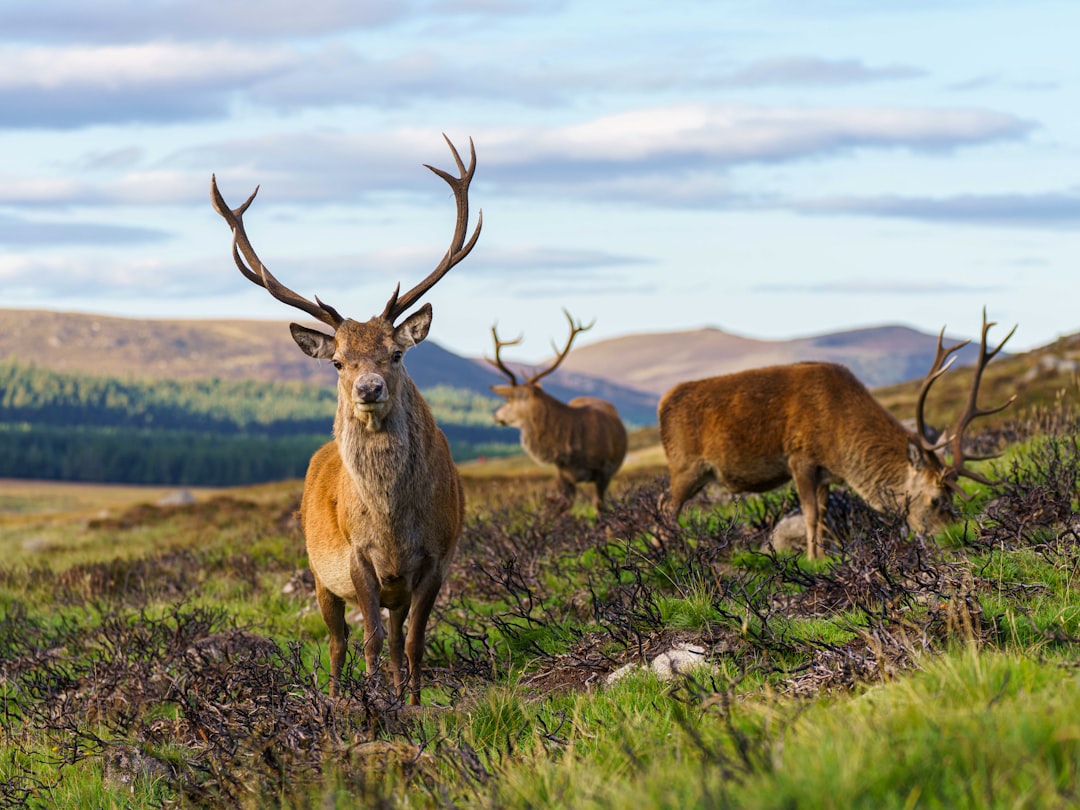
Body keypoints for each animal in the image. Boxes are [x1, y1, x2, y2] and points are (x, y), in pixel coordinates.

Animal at [210, 134, 481, 704]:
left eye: (395, 354)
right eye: (338, 361)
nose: (368, 388)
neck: (394, 523)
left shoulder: (438, 556)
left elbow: (415, 641)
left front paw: (412, 702)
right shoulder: (356, 558)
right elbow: (370, 640)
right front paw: (371, 701)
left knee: (397, 636)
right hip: (317, 572)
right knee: (337, 643)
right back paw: (335, 697)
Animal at [487, 309, 628, 510]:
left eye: (510, 399)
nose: (496, 415)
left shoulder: (604, 471)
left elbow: (599, 505)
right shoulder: (563, 475)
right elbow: (564, 506)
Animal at [658, 310, 1015, 560]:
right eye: (937, 499)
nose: (950, 536)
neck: (842, 447)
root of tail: (662, 404)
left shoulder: (824, 473)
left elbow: (824, 515)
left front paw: (827, 552)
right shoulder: (800, 457)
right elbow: (810, 515)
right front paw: (813, 558)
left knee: (663, 502)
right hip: (685, 466)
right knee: (667, 507)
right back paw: (672, 555)